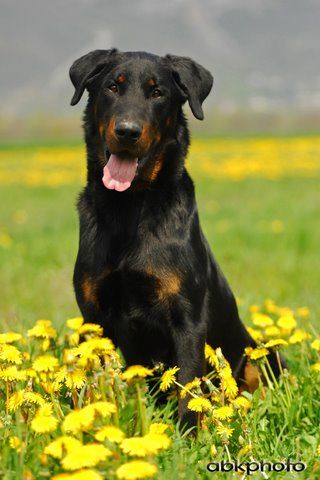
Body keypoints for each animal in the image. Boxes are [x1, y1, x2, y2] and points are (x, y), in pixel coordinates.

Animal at [69, 49, 280, 428]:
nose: (127, 131)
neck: (129, 208)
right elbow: (91, 386)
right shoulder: (93, 317)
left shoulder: (188, 317)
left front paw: (186, 436)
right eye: (112, 87)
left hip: (262, 355)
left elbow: (188, 389)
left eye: (158, 93)